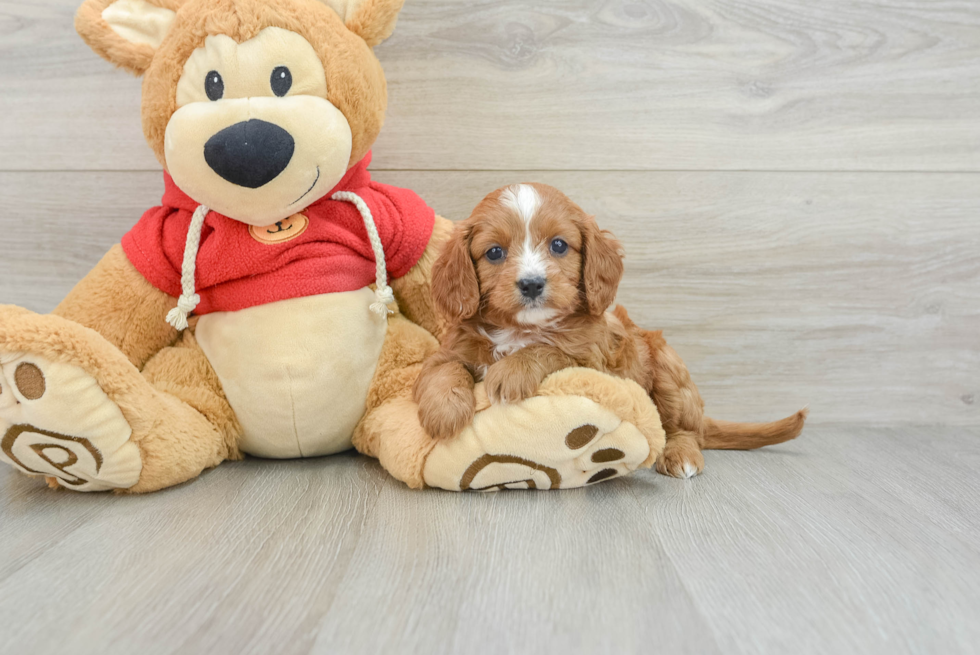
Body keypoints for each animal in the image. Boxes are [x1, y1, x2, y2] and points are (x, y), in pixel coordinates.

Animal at [414, 182, 804, 480]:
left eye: (559, 245)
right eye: (494, 252)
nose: (531, 284)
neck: (521, 329)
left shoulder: (594, 364)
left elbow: (550, 350)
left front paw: (511, 371)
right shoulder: (451, 349)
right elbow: (442, 370)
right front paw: (444, 412)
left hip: (668, 368)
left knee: (685, 429)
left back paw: (681, 455)